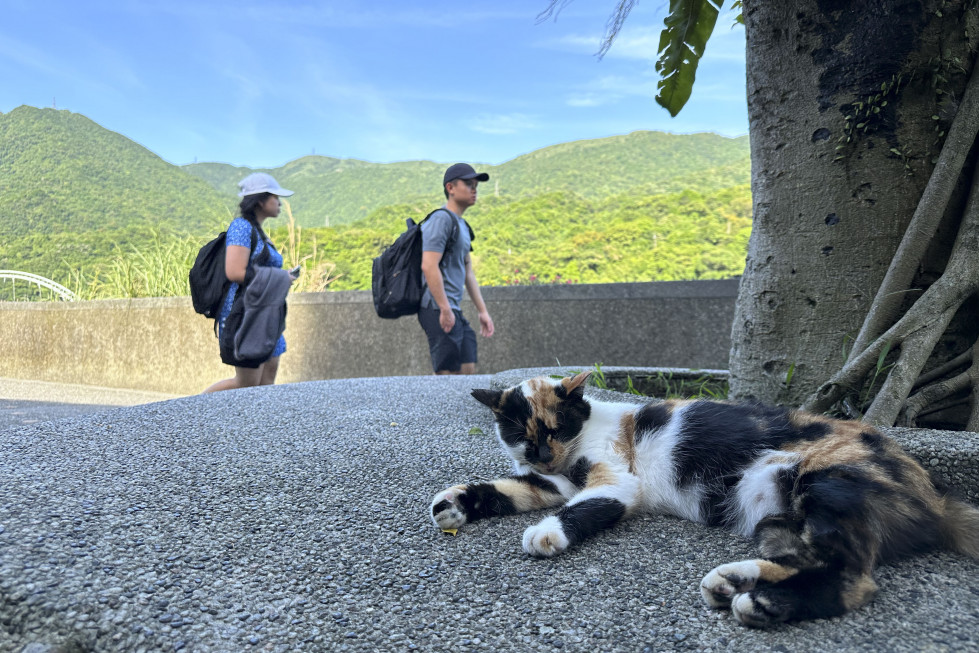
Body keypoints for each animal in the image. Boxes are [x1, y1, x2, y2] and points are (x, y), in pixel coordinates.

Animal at [432, 372, 979, 628]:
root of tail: (934, 492)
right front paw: (456, 501)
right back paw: (735, 581)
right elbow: (510, 488)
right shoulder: (553, 483)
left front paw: (547, 533)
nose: (543, 454)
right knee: (808, 557)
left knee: (853, 576)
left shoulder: (614, 481)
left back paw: (764, 603)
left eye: (557, 427)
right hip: (778, 517)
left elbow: (583, 506)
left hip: (824, 484)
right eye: (520, 435)